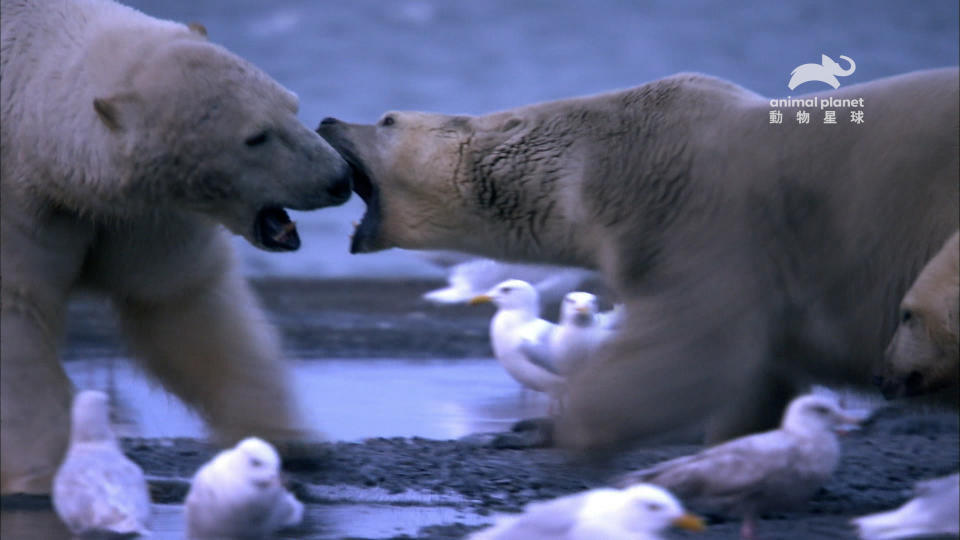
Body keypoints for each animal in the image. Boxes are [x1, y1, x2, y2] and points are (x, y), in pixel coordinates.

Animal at [0, 0, 352, 494]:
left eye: (293, 105)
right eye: (256, 136)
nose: (340, 178)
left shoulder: (142, 216)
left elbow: (183, 304)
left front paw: (284, 440)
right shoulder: (24, 204)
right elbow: (16, 316)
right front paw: (45, 471)